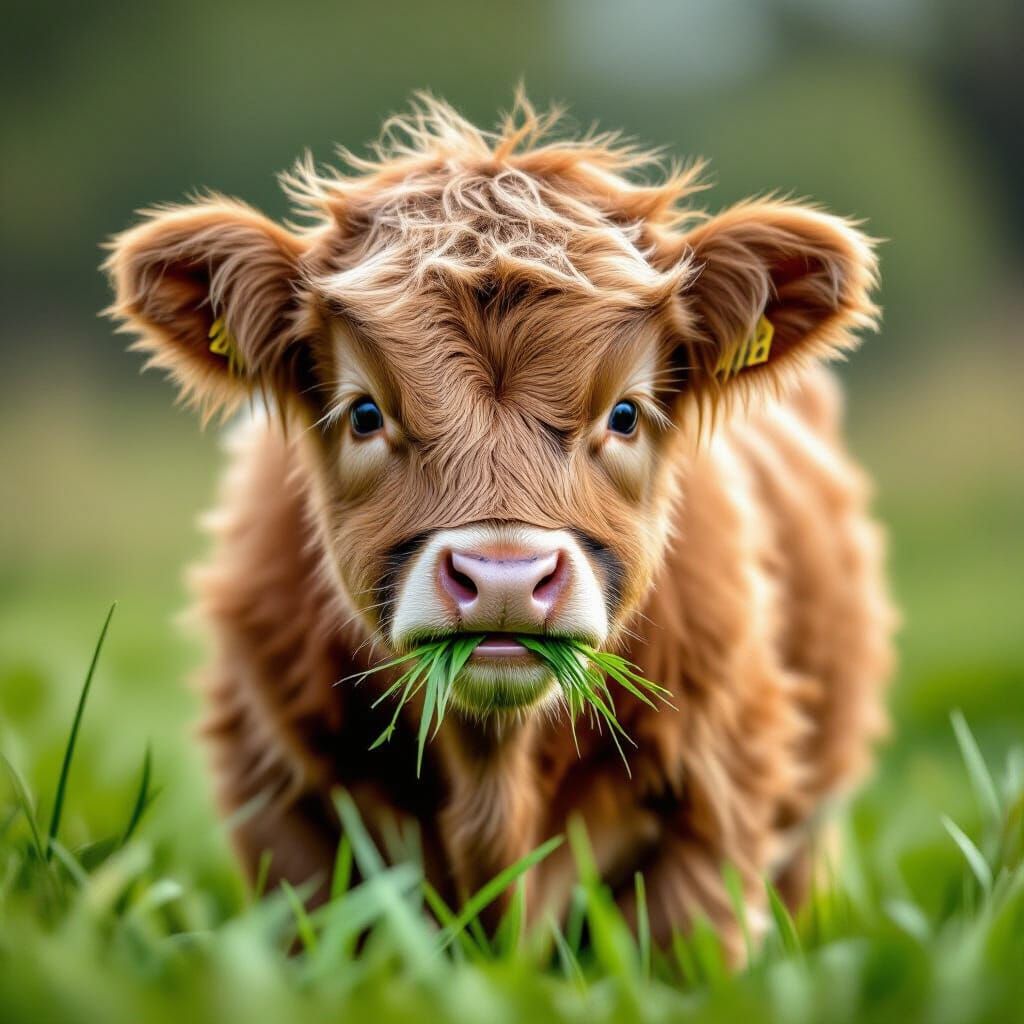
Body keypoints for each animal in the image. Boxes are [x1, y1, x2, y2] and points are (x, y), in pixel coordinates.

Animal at [105, 94, 895, 961]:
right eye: (365, 413)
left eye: (625, 414)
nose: (504, 580)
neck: (494, 775)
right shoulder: (285, 805)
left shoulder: (714, 806)